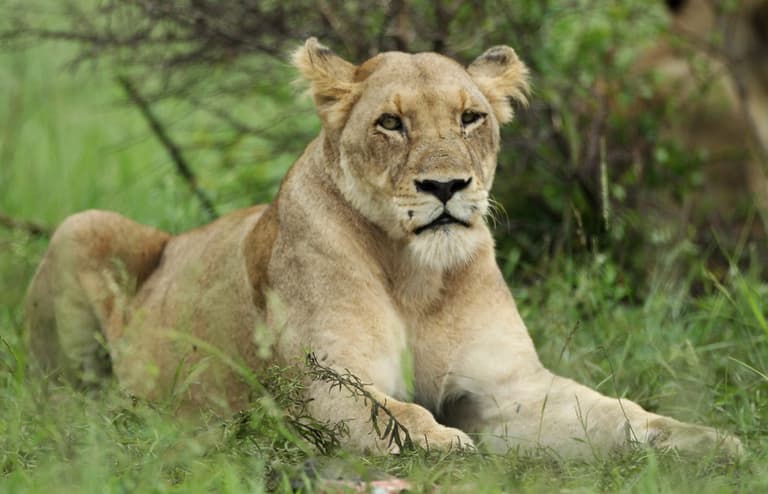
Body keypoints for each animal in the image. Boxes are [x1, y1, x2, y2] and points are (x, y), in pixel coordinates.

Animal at [26, 38, 742, 460]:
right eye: (391, 123)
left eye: (471, 118)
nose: (446, 186)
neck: (416, 275)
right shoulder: (313, 387)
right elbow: (398, 414)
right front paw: (448, 447)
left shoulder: (510, 387)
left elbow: (616, 412)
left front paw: (708, 441)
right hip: (81, 227)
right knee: (59, 394)